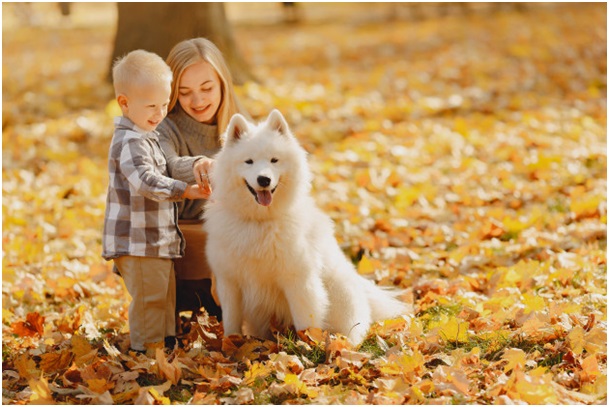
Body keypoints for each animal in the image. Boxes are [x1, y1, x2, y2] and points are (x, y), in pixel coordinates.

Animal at [204, 109, 408, 344]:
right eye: (249, 161)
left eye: (274, 160)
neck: (260, 222)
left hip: (339, 290)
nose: (264, 179)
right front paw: (230, 343)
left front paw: (307, 345)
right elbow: (231, 321)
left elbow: (305, 320)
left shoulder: (298, 279)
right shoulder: (229, 281)